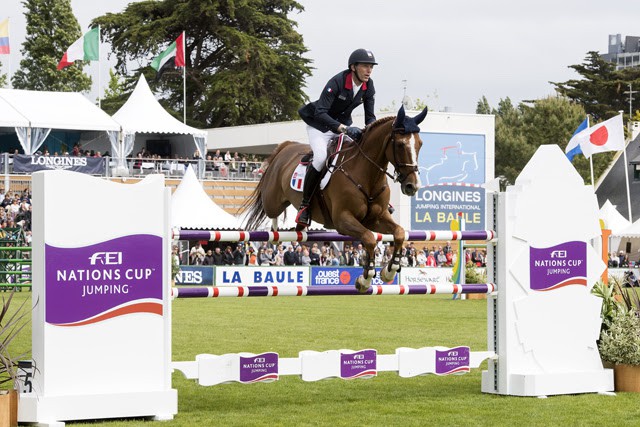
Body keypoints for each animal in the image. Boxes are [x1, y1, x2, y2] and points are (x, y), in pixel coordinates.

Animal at [242, 105, 428, 292]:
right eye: (401, 144)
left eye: (420, 144)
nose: (412, 186)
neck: (367, 174)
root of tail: (286, 147)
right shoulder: (342, 220)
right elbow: (369, 238)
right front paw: (365, 279)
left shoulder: (376, 218)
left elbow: (399, 233)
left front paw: (389, 270)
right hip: (273, 200)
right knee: (271, 211)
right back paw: (275, 234)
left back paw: (299, 221)